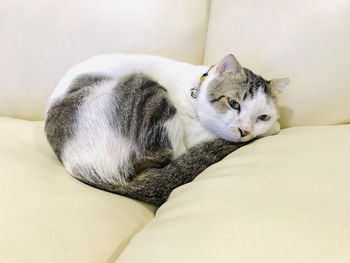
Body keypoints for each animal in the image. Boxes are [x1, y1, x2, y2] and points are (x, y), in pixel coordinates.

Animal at [44, 54, 290, 206]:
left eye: (262, 117)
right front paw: (273, 129)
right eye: (233, 103)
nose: (245, 131)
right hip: (147, 91)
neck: (194, 89)